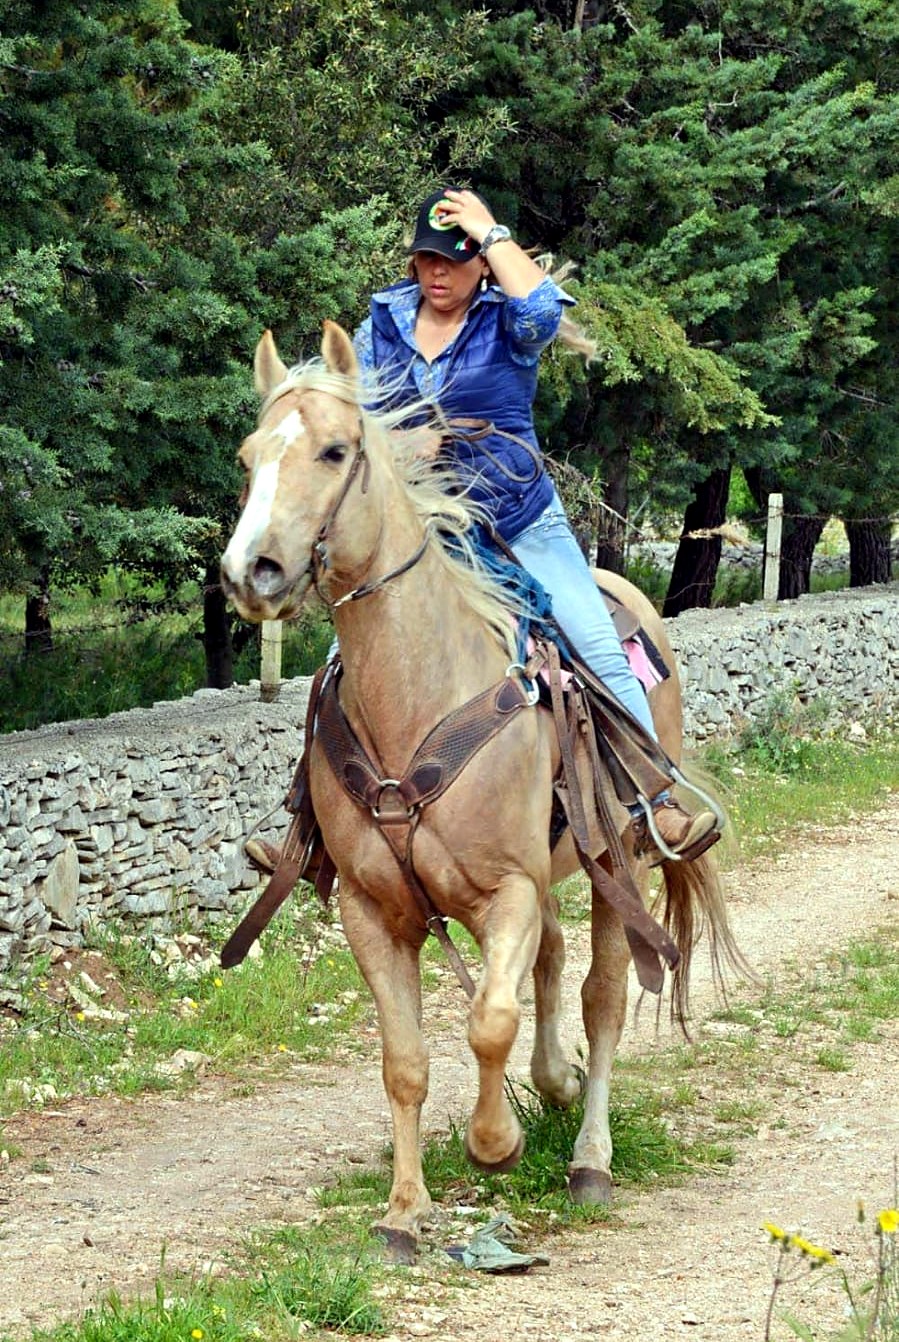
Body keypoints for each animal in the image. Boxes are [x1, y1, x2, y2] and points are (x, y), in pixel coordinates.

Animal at [220, 321, 742, 1262]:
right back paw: (556, 1083)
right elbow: (406, 1060)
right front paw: (402, 1211)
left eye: (334, 450)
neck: (419, 688)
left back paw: (588, 1155)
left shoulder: (509, 891)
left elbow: (489, 1021)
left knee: (600, 997)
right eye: (250, 456)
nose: (254, 570)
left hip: (617, 863)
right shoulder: (372, 910)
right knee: (551, 966)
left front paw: (496, 1145)